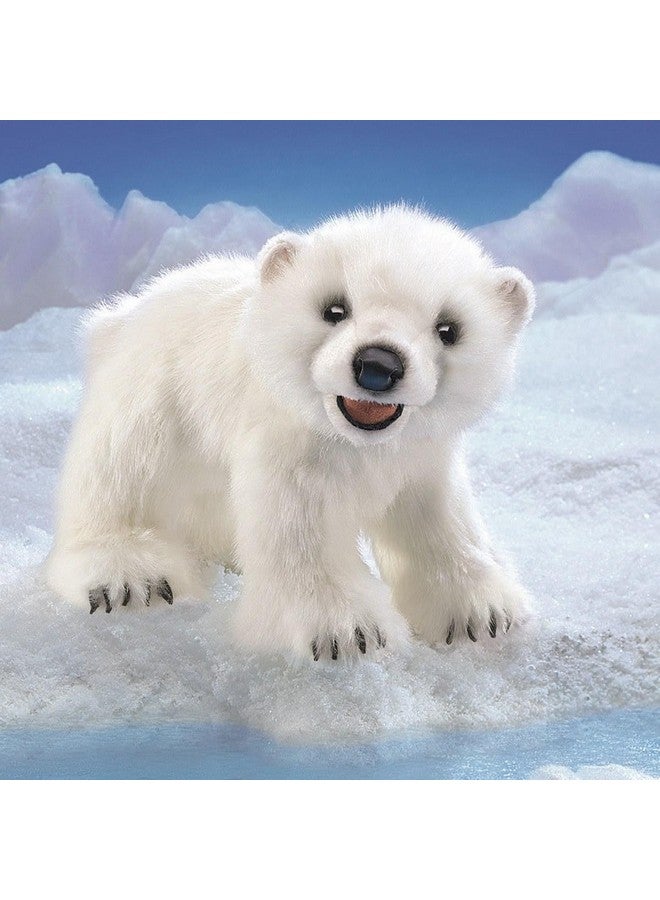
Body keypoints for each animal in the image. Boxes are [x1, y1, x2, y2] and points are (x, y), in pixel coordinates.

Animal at [45, 205, 535, 661]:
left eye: (448, 329)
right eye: (334, 309)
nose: (378, 364)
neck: (359, 444)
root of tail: (118, 316)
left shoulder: (421, 457)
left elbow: (439, 518)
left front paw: (482, 614)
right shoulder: (293, 449)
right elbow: (301, 530)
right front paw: (348, 633)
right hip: (155, 394)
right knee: (121, 469)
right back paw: (131, 577)